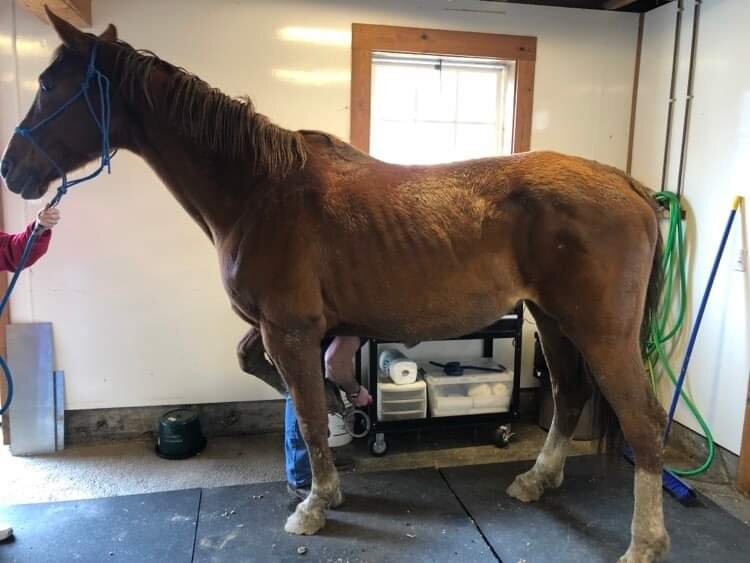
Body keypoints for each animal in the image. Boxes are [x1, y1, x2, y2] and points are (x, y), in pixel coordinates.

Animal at [1, 9, 669, 562]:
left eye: (49, 85)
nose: (11, 170)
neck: (259, 191)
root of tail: (628, 184)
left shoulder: (289, 328)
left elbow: (308, 413)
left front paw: (316, 502)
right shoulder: (280, 329)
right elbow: (275, 379)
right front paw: (345, 417)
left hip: (601, 331)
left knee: (643, 421)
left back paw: (644, 542)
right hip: (553, 320)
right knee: (571, 394)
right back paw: (538, 478)